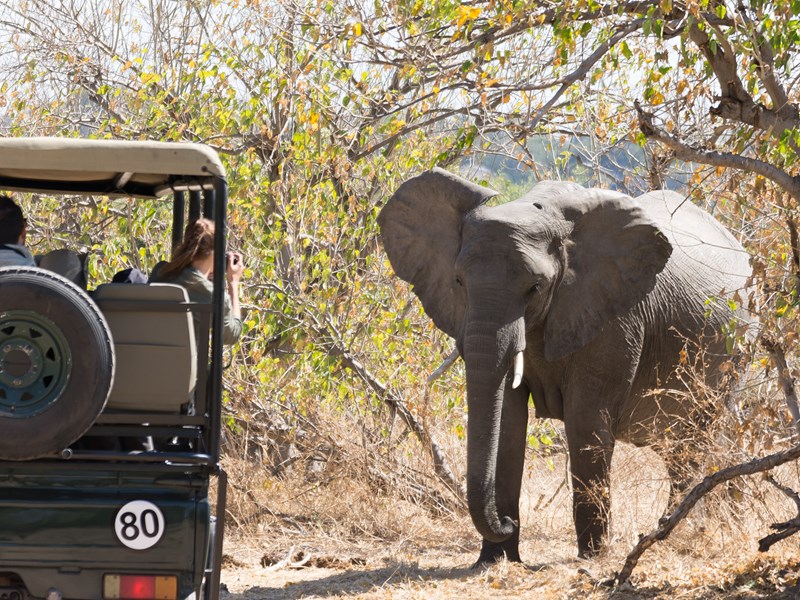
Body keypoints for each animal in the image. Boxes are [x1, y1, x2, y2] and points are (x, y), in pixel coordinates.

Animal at [378, 168, 752, 564]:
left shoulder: (615, 317)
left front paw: (592, 558)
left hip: (735, 355)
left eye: (535, 287)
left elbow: (585, 419)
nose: (506, 522)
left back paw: (679, 534)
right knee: (679, 447)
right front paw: (496, 560)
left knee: (701, 441)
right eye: (459, 281)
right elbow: (508, 421)